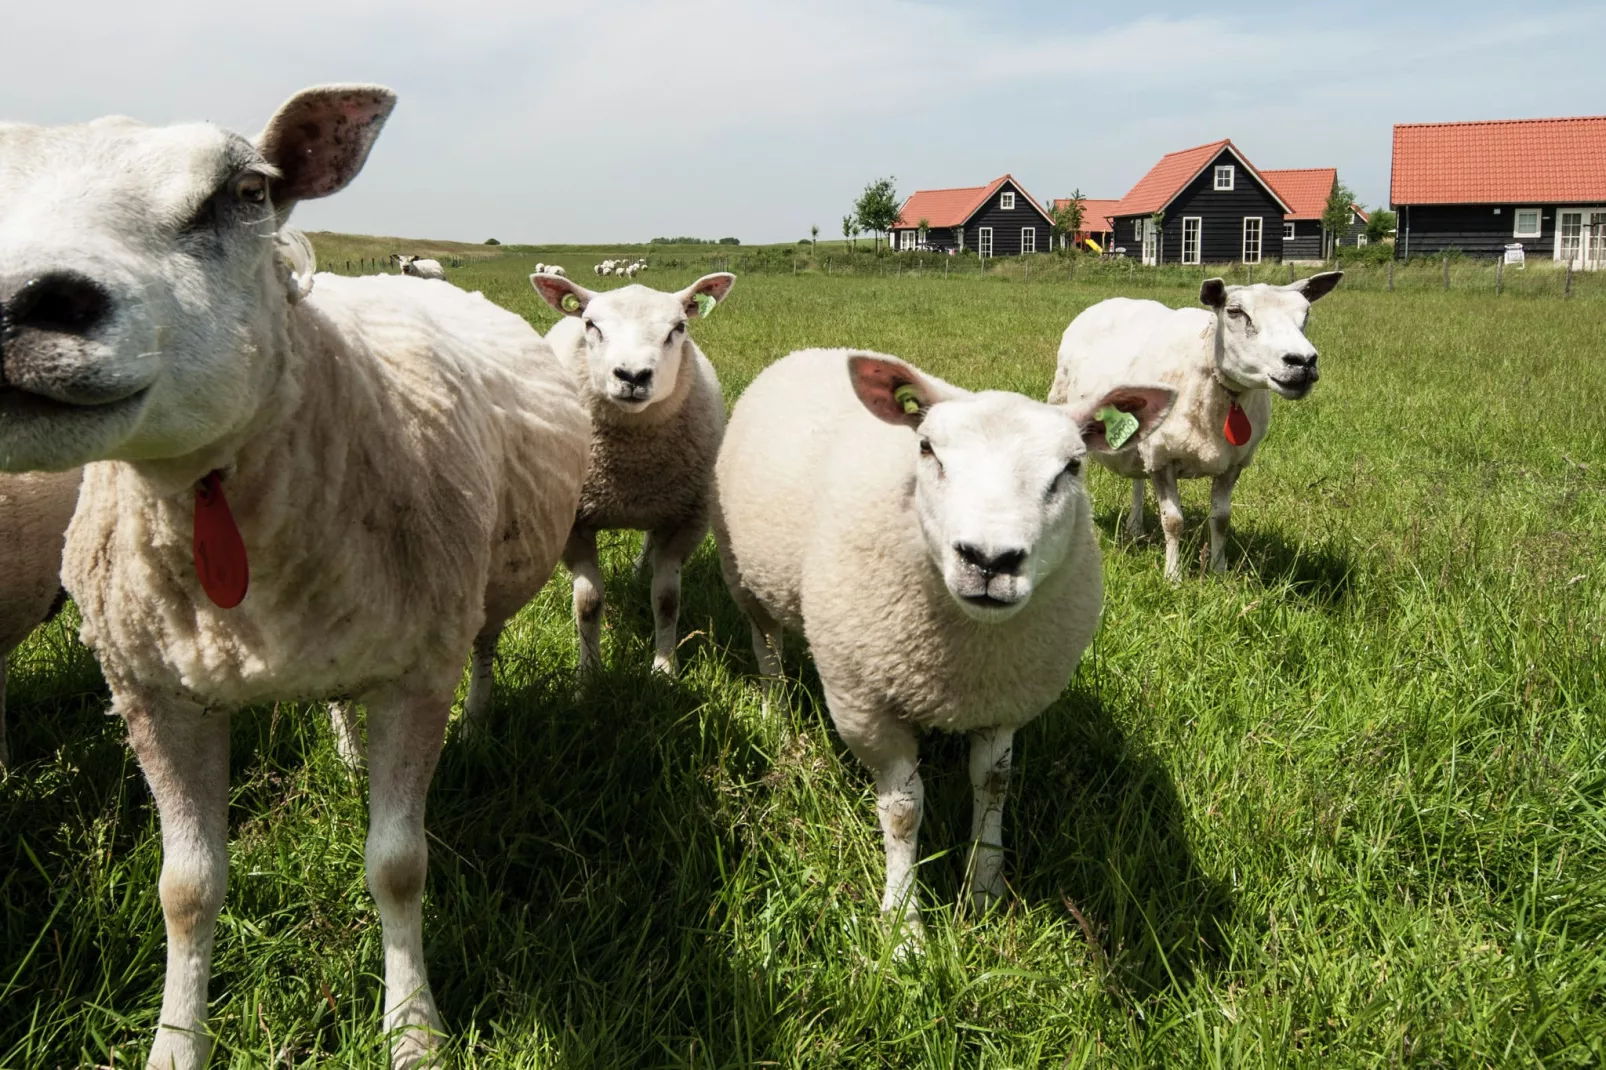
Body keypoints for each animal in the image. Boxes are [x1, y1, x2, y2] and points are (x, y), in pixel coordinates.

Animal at [533, 273, 735, 674]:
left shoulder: (683, 520)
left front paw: (663, 670)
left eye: (678, 328)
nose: (632, 375)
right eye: (592, 325)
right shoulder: (575, 525)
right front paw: (589, 673)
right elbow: (588, 602)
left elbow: (667, 600)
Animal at [709, 348, 1175, 931]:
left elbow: (993, 786)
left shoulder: (1003, 702)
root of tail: (814, 351)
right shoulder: (865, 707)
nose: (990, 560)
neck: (969, 649)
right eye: (927, 449)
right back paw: (775, 716)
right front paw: (903, 922)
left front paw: (985, 890)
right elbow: (903, 812)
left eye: (1071, 467)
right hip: (742, 574)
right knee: (767, 647)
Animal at [1053, 271, 1342, 578]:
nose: (1303, 362)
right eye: (1235, 312)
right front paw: (1173, 577)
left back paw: (1135, 527)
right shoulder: (1162, 457)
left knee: (1138, 480)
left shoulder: (1231, 462)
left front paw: (1219, 571)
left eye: (1306, 313)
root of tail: (1112, 300)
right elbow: (1173, 521)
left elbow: (1221, 519)